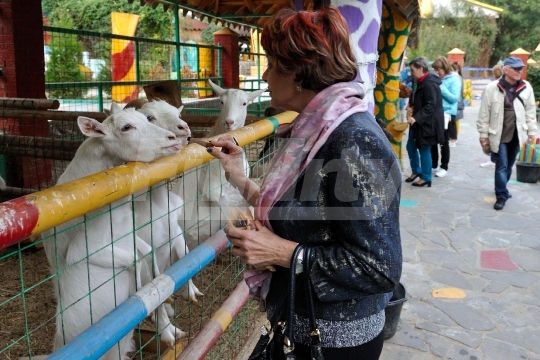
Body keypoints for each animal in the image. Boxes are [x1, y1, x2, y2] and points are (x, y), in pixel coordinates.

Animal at [132, 100, 204, 344]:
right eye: (149, 118)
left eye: (177, 113)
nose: (184, 128)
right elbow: (155, 292)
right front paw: (169, 333)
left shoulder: (175, 230)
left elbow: (185, 254)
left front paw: (191, 291)